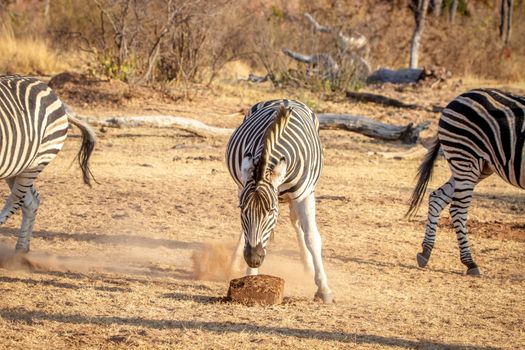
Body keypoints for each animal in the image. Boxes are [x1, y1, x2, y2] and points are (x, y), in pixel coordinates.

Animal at [225, 98, 332, 304]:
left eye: (271, 211)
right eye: (242, 210)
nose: (253, 259)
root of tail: (283, 99)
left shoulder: (305, 194)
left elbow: (312, 237)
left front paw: (323, 289)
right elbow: (247, 232)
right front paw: (251, 276)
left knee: (297, 224)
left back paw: (307, 265)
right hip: (240, 185)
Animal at [408, 89, 520, 274]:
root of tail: (458, 97)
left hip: (478, 166)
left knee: (437, 197)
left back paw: (425, 252)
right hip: (466, 159)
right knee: (457, 209)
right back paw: (470, 262)